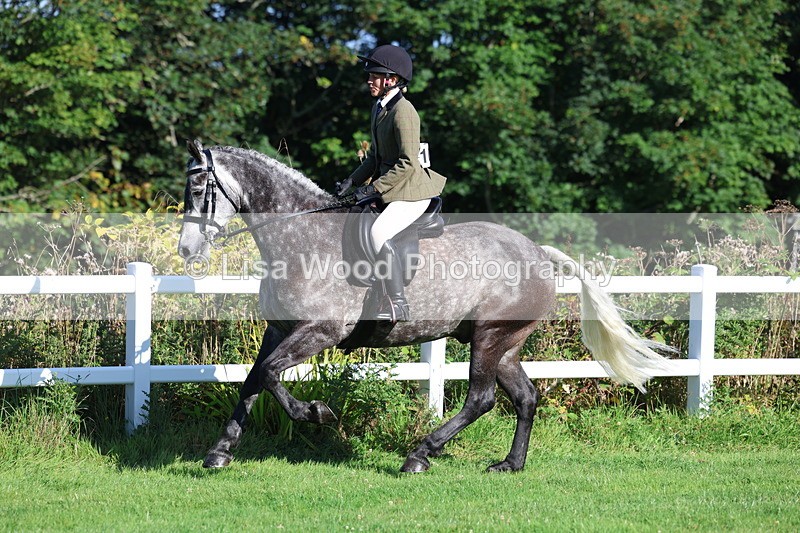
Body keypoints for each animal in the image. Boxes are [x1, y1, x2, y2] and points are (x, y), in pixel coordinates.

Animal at [177, 139, 672, 473]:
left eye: (201, 190)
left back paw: (419, 455)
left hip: (490, 338)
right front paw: (220, 451)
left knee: (481, 399)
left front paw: (316, 413)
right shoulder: (279, 329)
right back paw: (509, 464)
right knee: (525, 397)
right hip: (505, 343)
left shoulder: (320, 330)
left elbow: (270, 374)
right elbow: (254, 379)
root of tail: (537, 252)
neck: (301, 236)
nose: (186, 250)